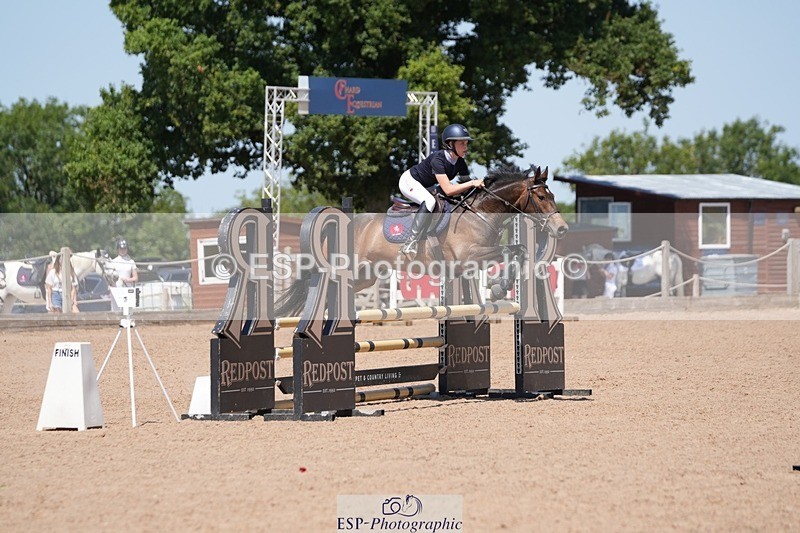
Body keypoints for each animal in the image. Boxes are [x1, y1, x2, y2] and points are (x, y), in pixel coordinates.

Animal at [276, 165, 569, 315]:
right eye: (541, 197)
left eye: (553, 195)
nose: (562, 229)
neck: (481, 213)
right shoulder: (470, 256)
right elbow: (514, 250)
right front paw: (498, 287)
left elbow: (520, 251)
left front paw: (500, 285)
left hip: (365, 276)